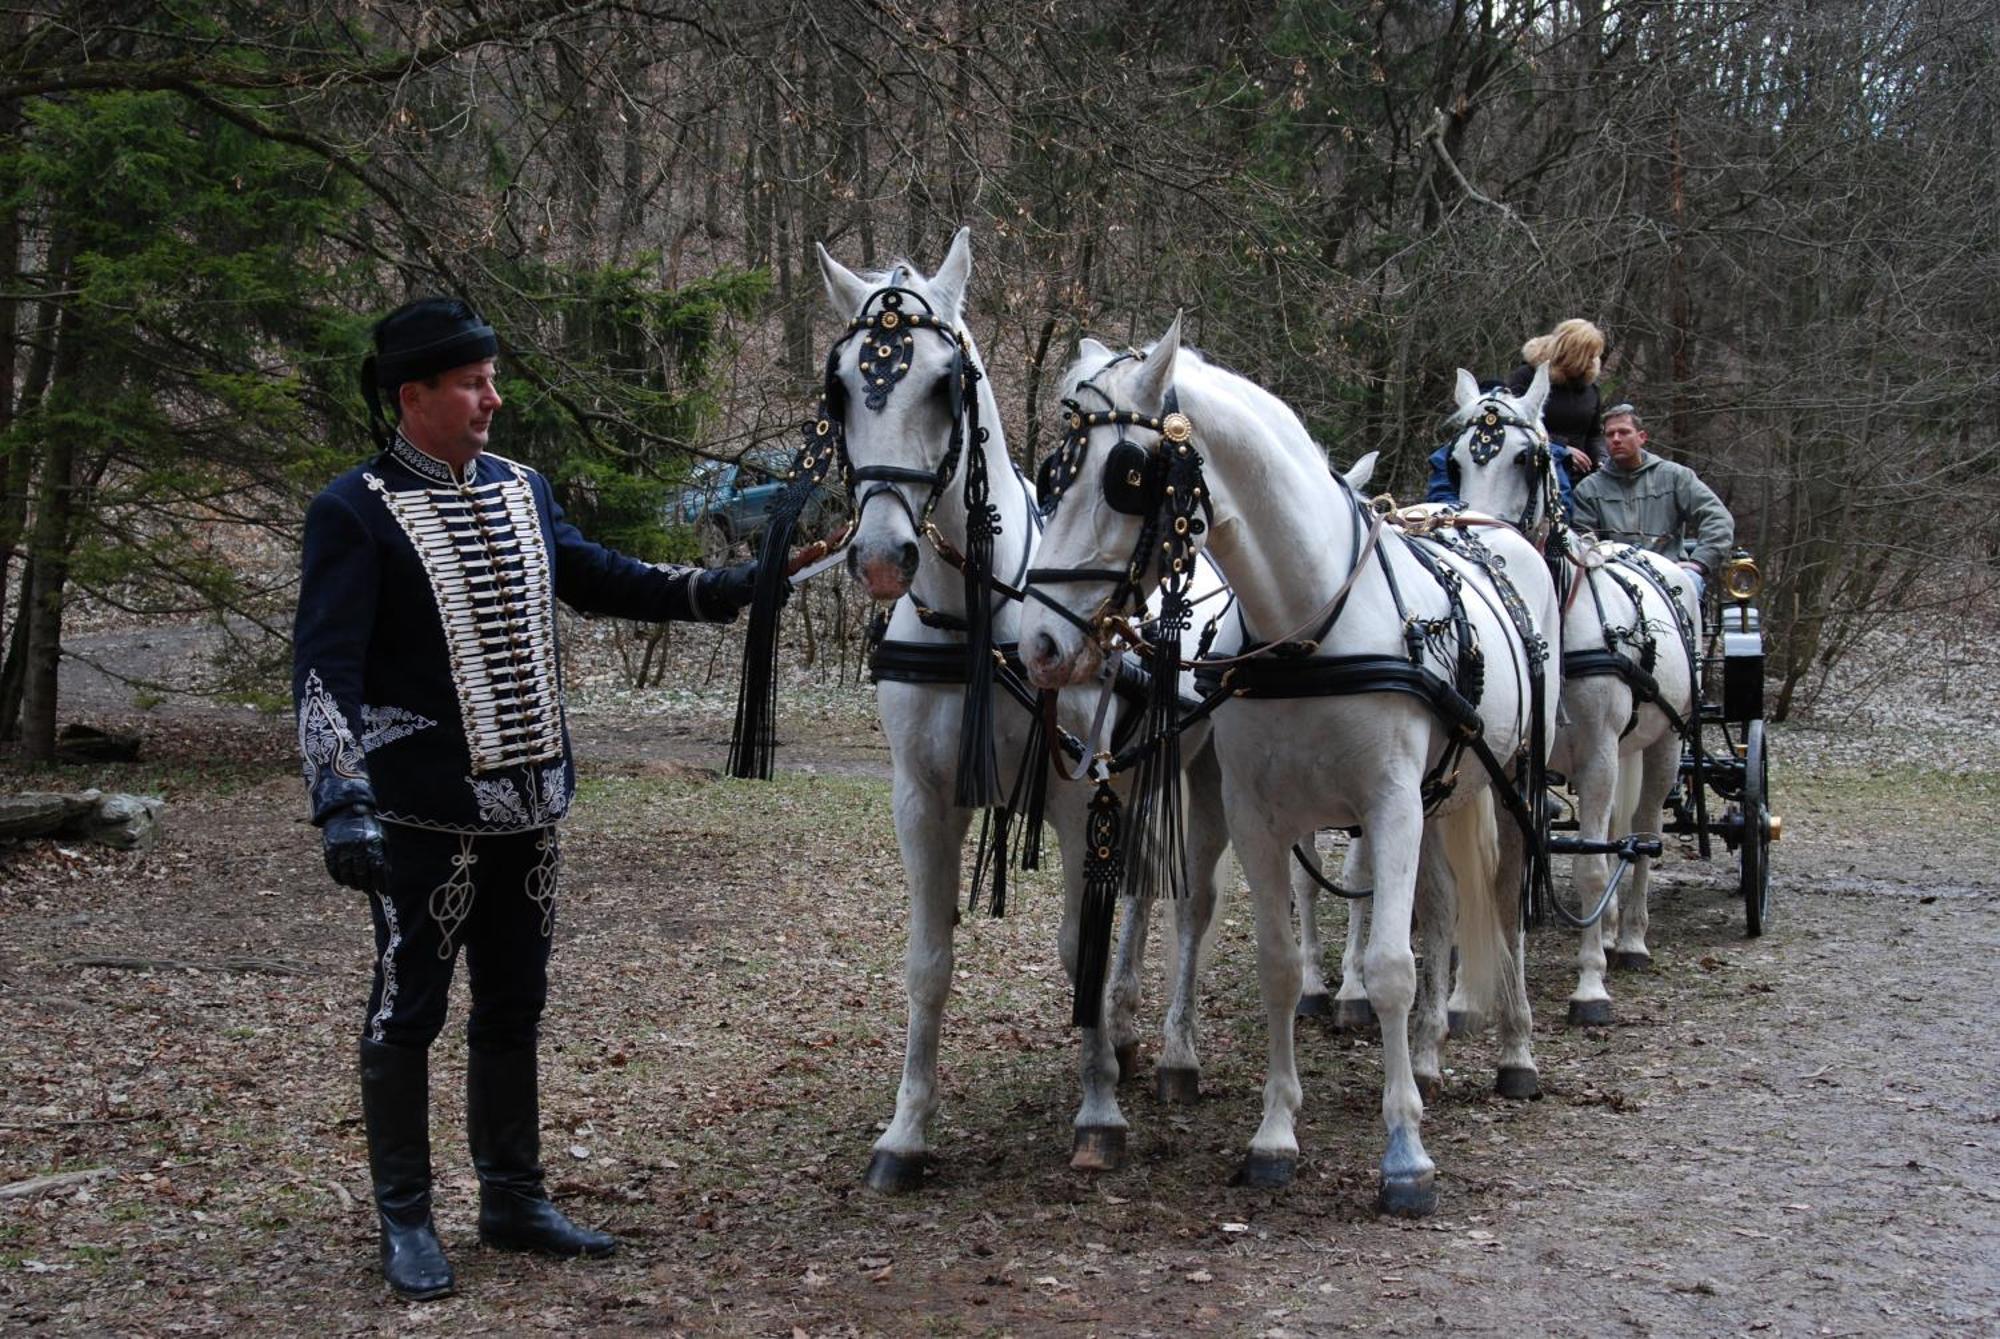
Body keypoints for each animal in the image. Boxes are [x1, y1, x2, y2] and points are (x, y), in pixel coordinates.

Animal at [816, 235, 1232, 1191]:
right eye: (843, 387)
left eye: (945, 384)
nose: (883, 555)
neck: (981, 622)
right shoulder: (923, 800)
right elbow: (929, 962)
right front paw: (907, 1130)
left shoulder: (1081, 794)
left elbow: (1081, 939)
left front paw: (1099, 1110)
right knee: (1142, 895)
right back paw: (1123, 1023)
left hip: (1204, 771)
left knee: (1191, 902)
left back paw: (1176, 1051)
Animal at [1024, 321, 1552, 1215]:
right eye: (1053, 474)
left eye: (1125, 477)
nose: (1040, 642)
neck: (1309, 625)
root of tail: (1487, 530)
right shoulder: (1259, 816)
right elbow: (1277, 963)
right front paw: (1274, 1134)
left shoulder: (1388, 806)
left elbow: (1390, 966)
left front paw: (1404, 1154)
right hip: (1441, 796)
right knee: (1446, 907)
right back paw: (1430, 1055)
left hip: (1507, 782)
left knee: (1505, 904)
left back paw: (1514, 1051)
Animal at [1440, 371, 1704, 1023]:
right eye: (1455, 462)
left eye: (1527, 458)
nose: (1471, 538)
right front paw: (1465, 990)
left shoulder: (1599, 753)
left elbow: (1589, 862)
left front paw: (1590, 986)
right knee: (1614, 832)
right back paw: (1605, 930)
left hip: (1662, 745)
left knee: (1640, 835)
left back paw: (1627, 938)